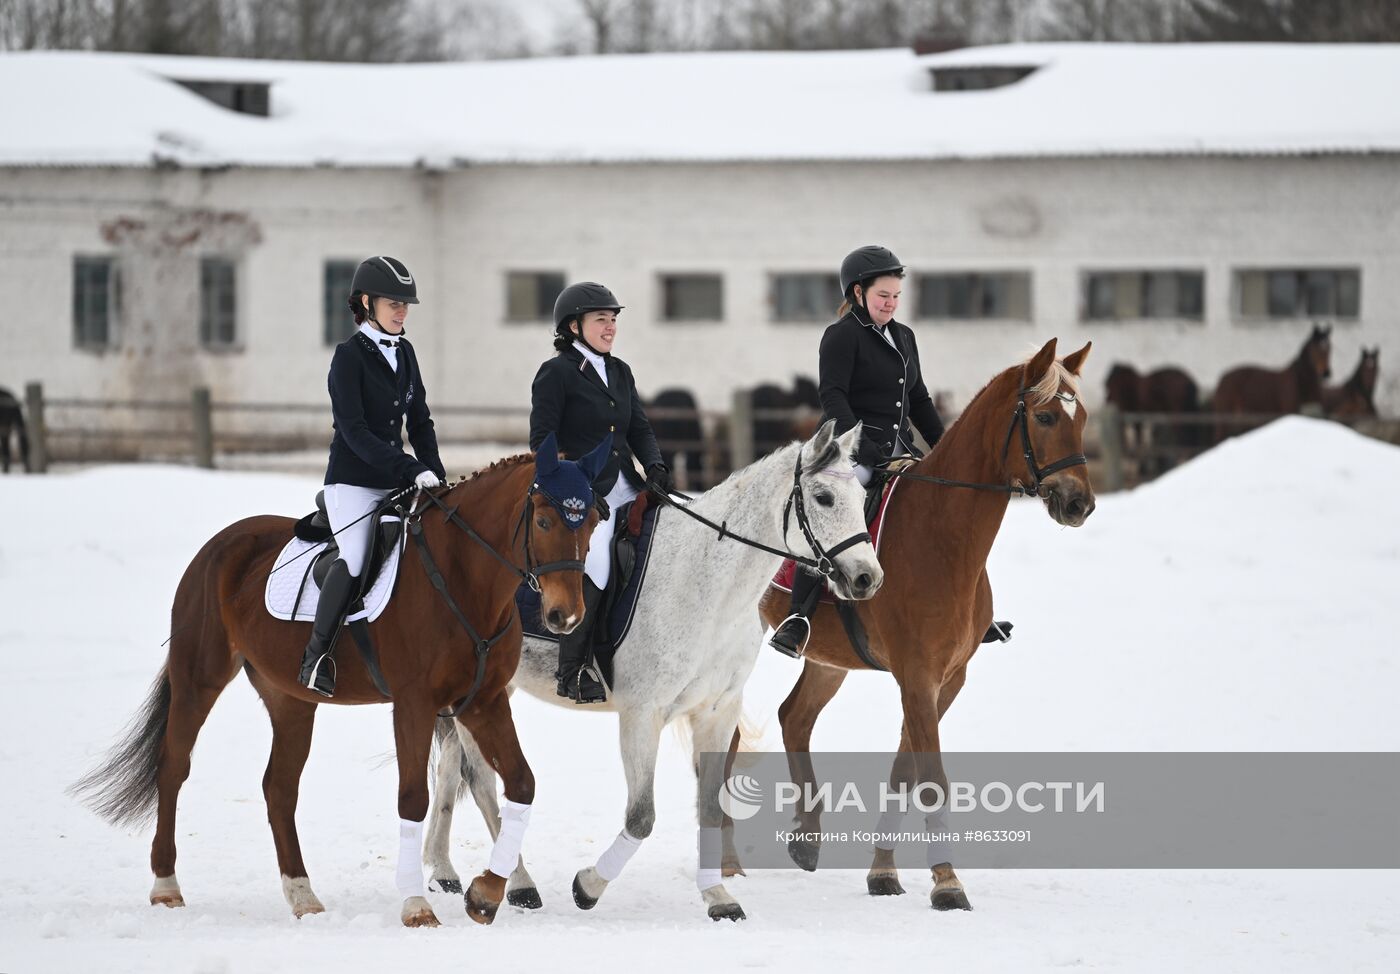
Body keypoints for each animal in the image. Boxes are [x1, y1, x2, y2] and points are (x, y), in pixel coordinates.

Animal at [71, 442, 607, 929]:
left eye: (593, 523)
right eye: (544, 522)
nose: (566, 616)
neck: (461, 578)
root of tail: (220, 544)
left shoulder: (483, 701)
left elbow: (522, 783)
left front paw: (486, 895)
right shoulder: (413, 703)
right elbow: (412, 796)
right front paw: (417, 906)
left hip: (290, 699)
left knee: (279, 787)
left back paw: (302, 897)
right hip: (198, 678)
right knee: (173, 768)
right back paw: (166, 887)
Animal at [420, 419, 879, 918]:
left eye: (861, 496)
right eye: (824, 498)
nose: (868, 578)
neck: (707, 586)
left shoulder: (717, 711)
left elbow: (711, 806)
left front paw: (718, 897)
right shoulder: (642, 714)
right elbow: (641, 818)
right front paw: (588, 886)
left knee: (454, 766)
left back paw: (444, 869)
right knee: (481, 778)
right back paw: (517, 884)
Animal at [756, 337, 1092, 912]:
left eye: (1084, 417)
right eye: (1046, 416)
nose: (1080, 503)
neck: (943, 535)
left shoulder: (945, 679)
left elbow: (905, 770)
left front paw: (883, 872)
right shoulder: (916, 675)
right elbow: (931, 777)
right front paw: (947, 883)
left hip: (829, 663)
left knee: (793, 718)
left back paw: (806, 838)